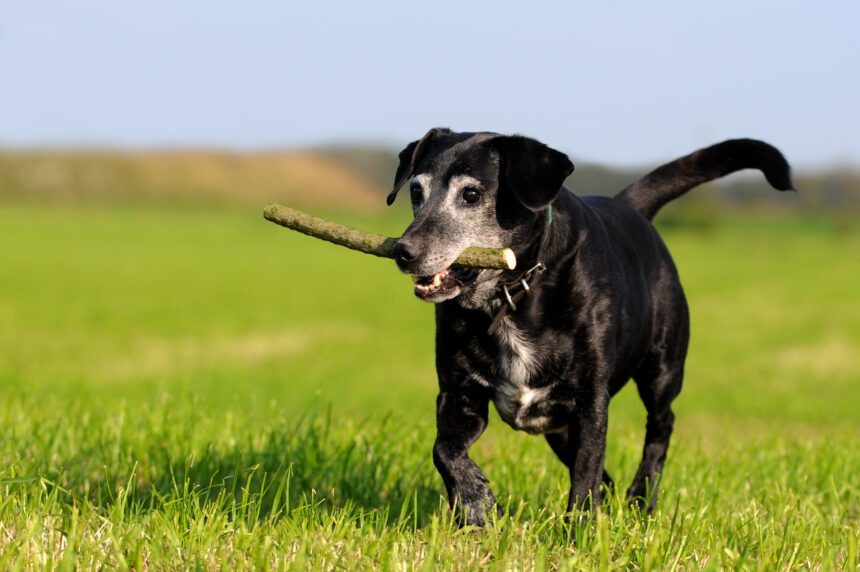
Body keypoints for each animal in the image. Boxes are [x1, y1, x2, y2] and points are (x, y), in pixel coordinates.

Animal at [388, 130, 792, 528]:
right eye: (416, 191)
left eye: (470, 194)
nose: (403, 252)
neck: (512, 294)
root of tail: (630, 207)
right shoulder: (458, 393)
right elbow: (444, 450)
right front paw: (476, 503)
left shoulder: (590, 401)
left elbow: (585, 477)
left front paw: (579, 535)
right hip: (559, 428)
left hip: (661, 369)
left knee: (661, 426)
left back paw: (641, 498)